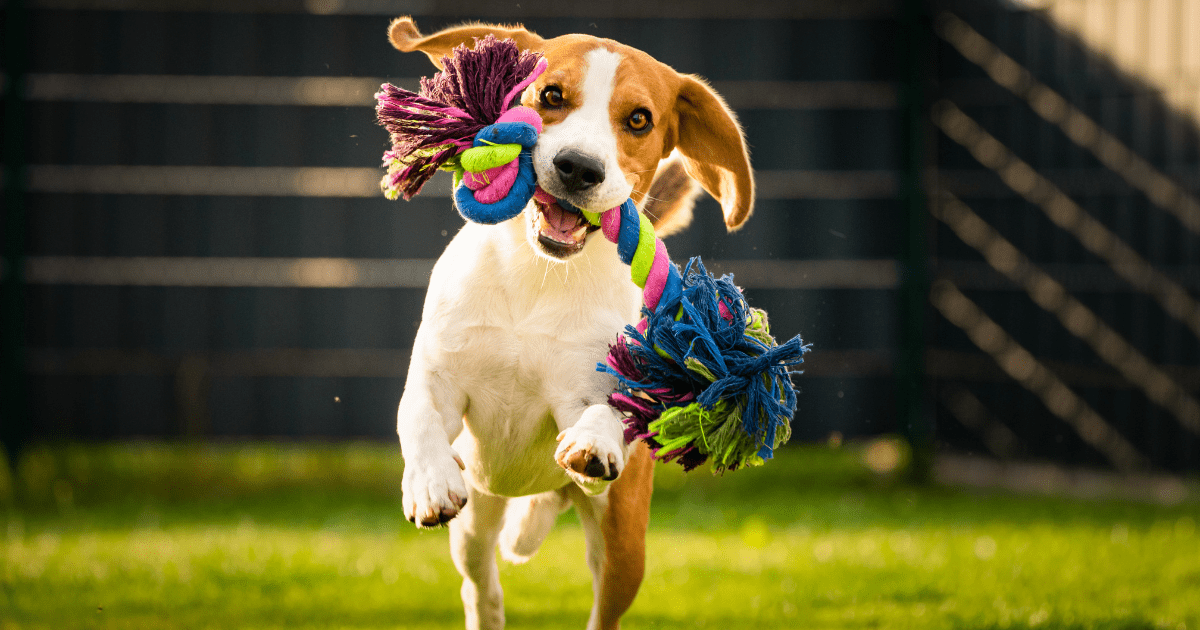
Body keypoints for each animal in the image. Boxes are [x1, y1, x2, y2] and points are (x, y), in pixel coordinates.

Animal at [388, 18, 753, 628]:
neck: (540, 279)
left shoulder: (596, 387)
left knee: (604, 605)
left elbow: (609, 410)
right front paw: (429, 482)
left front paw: (596, 440)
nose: (579, 167)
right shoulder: (441, 373)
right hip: (476, 517)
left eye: (639, 119)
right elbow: (417, 414)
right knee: (481, 584)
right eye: (551, 95)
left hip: (623, 542)